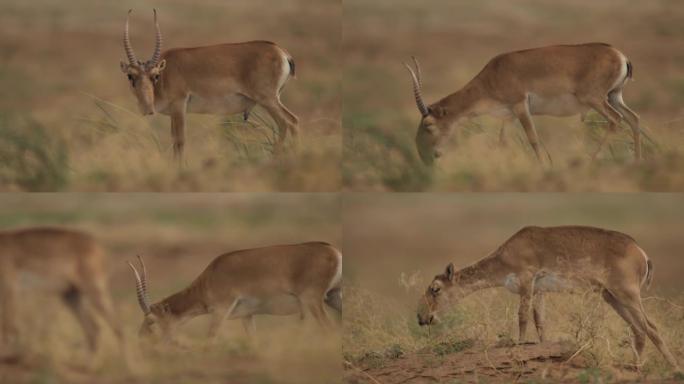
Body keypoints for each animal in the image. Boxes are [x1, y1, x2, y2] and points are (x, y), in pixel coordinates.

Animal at [0, 228, 124, 356]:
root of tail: (96, 244)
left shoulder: (9, 289)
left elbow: (7, 329)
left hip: (94, 292)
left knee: (117, 327)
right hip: (71, 296)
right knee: (93, 330)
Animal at [120, 9, 296, 162]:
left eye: (155, 75)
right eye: (130, 76)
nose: (148, 109)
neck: (166, 72)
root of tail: (282, 52)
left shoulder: (179, 106)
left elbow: (180, 141)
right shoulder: (173, 113)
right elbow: (173, 141)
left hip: (268, 100)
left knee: (290, 122)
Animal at [127, 240, 340, 342]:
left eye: (150, 320)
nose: (140, 340)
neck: (211, 276)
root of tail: (333, 251)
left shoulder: (221, 311)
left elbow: (210, 340)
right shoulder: (247, 316)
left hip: (313, 302)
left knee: (330, 330)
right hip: (332, 298)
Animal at [404, 43, 644, 165]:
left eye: (428, 124)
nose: (424, 156)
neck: (494, 73)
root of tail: (620, 56)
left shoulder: (520, 106)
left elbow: (533, 139)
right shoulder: (509, 115)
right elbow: (502, 142)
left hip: (595, 99)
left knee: (616, 119)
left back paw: (592, 160)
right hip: (614, 96)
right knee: (633, 118)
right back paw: (637, 161)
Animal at [416, 226, 680, 370]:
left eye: (435, 288)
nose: (422, 318)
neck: (505, 255)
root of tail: (641, 253)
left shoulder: (526, 282)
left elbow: (522, 317)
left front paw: (519, 345)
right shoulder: (539, 291)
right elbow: (539, 321)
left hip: (628, 294)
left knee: (651, 328)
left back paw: (674, 367)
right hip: (612, 297)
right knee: (638, 330)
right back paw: (636, 367)